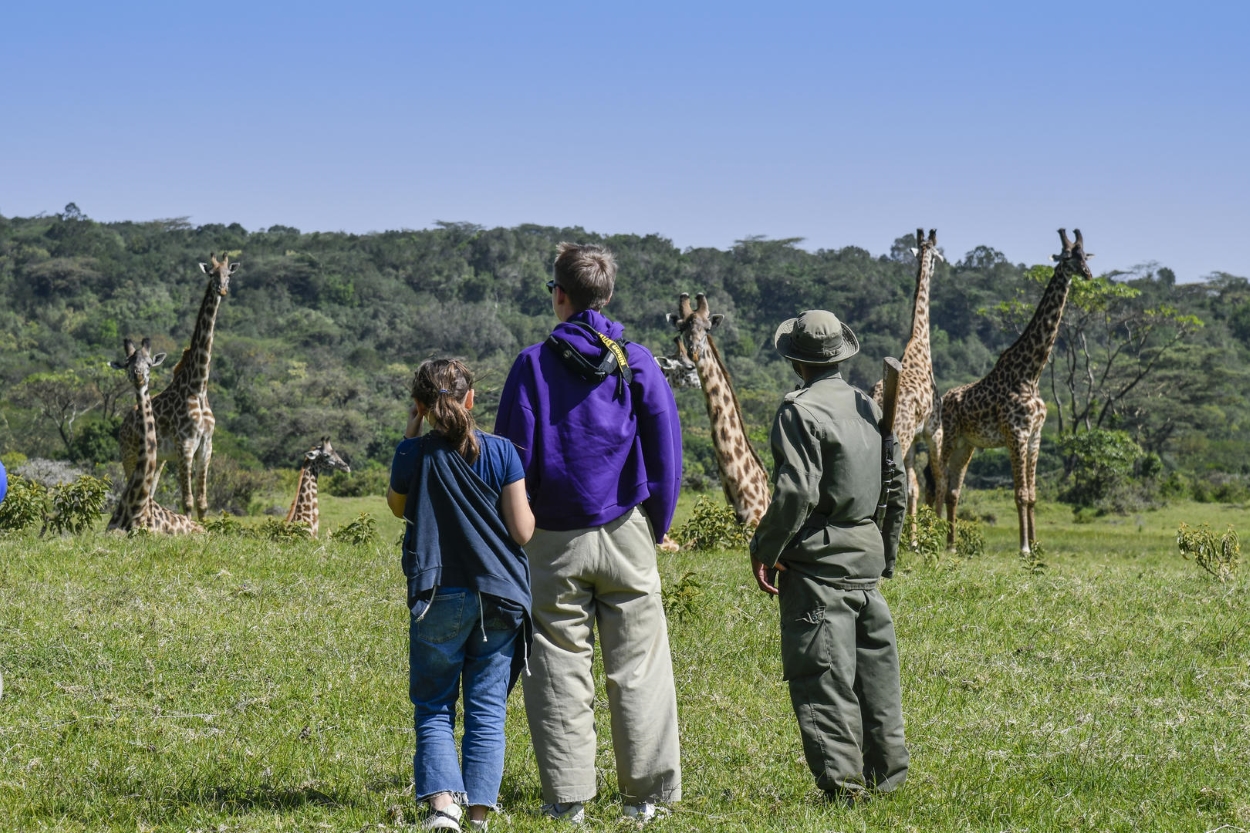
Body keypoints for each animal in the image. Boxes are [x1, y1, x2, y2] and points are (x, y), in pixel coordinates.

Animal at [119, 253, 237, 520]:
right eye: (211, 274)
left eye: (228, 274)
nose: (222, 290)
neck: (198, 387)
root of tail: (123, 424)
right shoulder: (185, 445)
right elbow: (188, 501)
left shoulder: (206, 446)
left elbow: (203, 503)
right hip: (129, 455)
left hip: (159, 459)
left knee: (149, 493)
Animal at [936, 229, 1094, 554]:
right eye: (1068, 257)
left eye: (1086, 256)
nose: (1088, 274)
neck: (1030, 374)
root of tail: (944, 397)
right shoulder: (1016, 433)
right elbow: (1020, 493)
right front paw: (1023, 548)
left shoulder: (1035, 435)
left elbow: (1032, 495)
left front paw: (1035, 544)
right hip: (950, 435)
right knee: (941, 481)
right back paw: (925, 537)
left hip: (967, 444)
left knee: (954, 489)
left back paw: (951, 544)